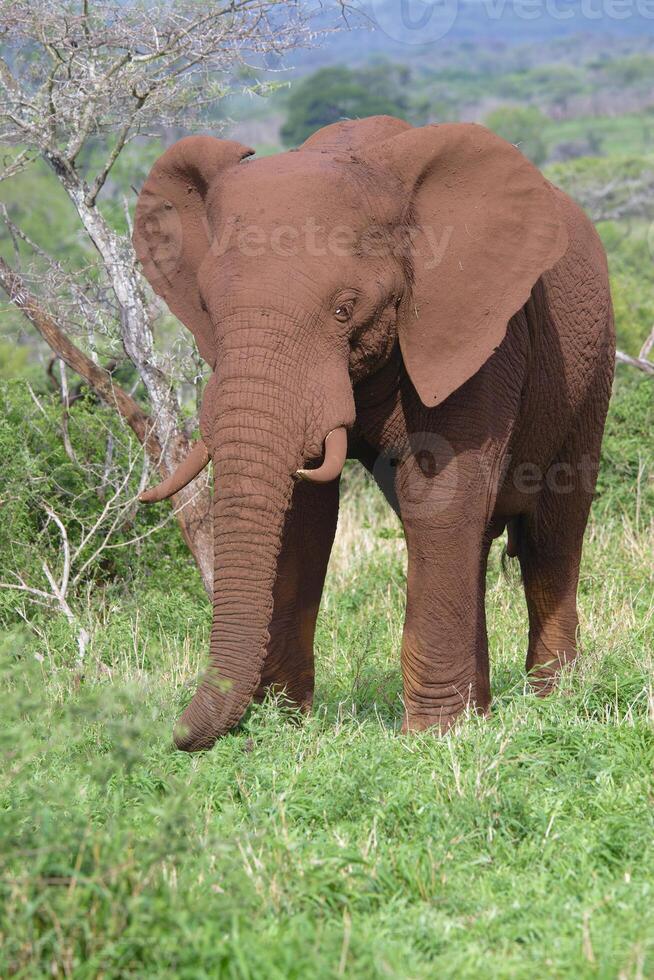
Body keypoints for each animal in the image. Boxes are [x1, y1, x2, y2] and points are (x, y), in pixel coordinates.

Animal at [133, 115, 616, 752]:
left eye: (344, 309)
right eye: (208, 309)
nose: (176, 735)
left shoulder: (477, 329)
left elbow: (441, 495)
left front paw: (429, 741)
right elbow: (305, 517)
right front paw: (284, 726)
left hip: (592, 366)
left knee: (551, 534)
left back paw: (551, 702)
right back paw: (482, 713)